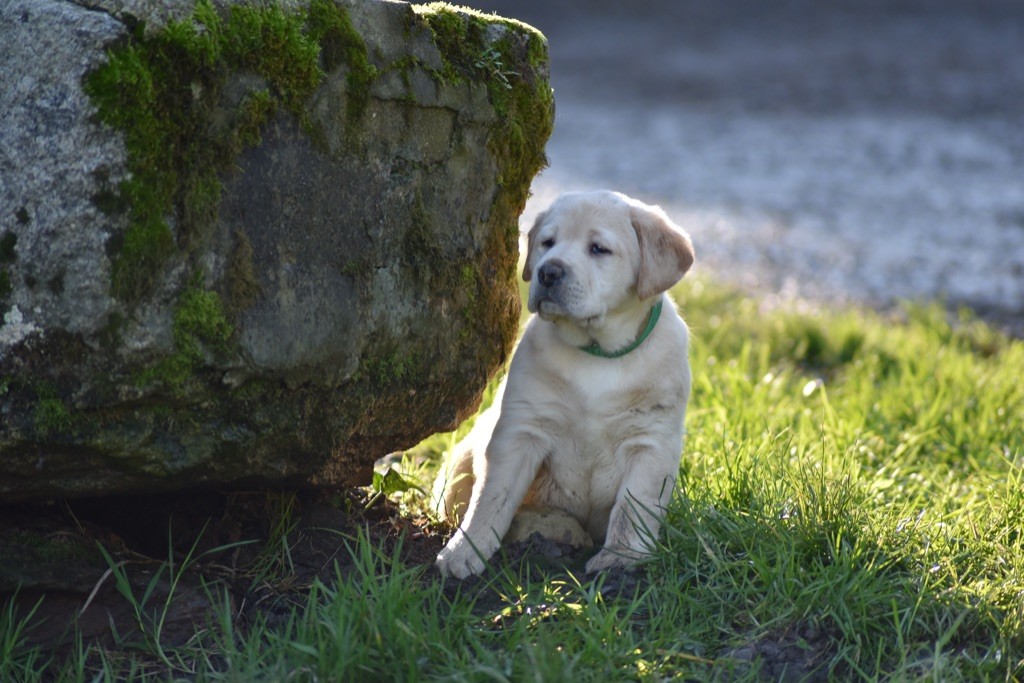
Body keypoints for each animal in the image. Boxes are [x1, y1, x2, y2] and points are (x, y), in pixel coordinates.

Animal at [432, 191, 696, 577]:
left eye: (598, 249)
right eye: (548, 243)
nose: (548, 271)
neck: (597, 353)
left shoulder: (650, 442)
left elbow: (632, 508)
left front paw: (620, 559)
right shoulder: (521, 431)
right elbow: (491, 497)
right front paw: (464, 551)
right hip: (461, 460)